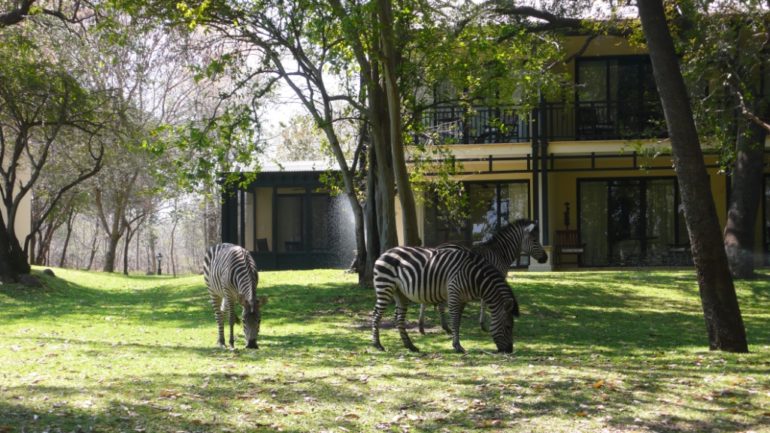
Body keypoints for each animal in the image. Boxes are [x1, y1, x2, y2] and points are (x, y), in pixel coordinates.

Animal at [370, 245, 520, 352]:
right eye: (508, 326)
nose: (509, 350)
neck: (475, 277)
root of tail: (385, 253)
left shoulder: (463, 300)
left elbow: (458, 321)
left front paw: (456, 344)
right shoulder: (454, 294)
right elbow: (455, 321)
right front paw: (457, 346)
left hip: (399, 293)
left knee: (399, 319)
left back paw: (410, 346)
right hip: (385, 286)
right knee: (376, 315)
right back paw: (377, 345)